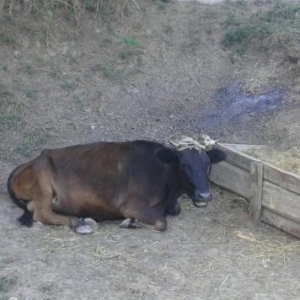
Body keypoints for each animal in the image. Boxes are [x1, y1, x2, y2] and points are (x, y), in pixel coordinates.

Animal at [7, 139, 225, 233]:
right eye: (183, 164)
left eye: (207, 163)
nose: (204, 195)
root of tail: (32, 160)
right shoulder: (131, 206)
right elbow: (162, 223)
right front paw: (130, 222)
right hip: (43, 182)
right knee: (41, 214)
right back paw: (79, 223)